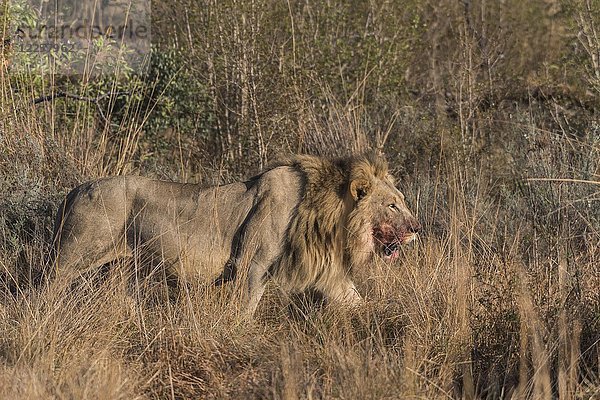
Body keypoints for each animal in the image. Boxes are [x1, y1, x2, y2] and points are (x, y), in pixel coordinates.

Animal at [51, 153, 420, 316]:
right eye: (392, 205)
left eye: (401, 201)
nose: (417, 228)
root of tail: (75, 189)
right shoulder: (250, 266)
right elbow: (245, 310)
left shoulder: (329, 274)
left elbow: (356, 300)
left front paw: (380, 319)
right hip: (74, 255)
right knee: (48, 285)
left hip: (125, 267)